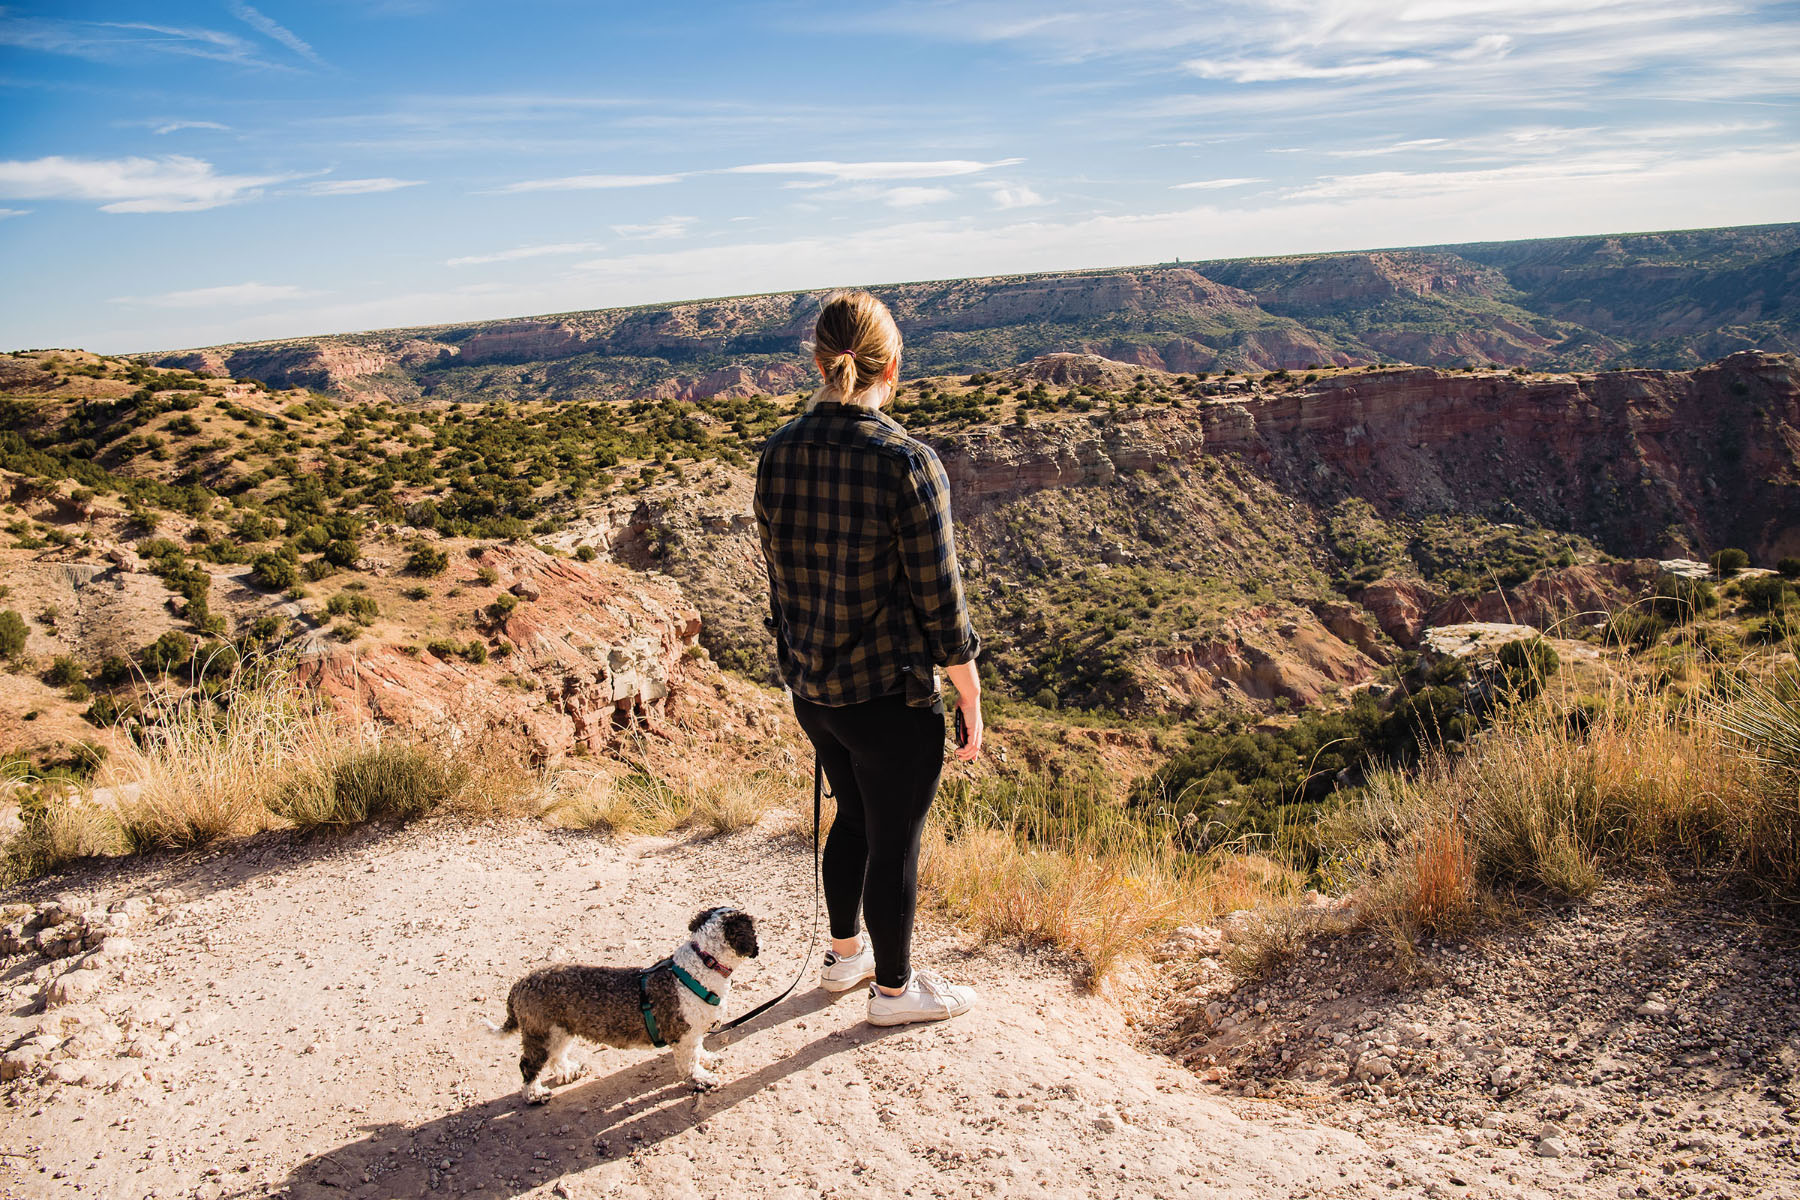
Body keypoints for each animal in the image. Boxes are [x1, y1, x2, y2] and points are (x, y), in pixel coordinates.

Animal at [500, 910, 759, 1101]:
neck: (700, 968)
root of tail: (520, 985)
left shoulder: (695, 1033)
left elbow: (699, 1050)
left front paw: (708, 1059)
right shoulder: (684, 1036)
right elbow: (689, 1062)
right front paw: (701, 1079)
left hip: (560, 1029)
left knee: (556, 1056)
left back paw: (569, 1071)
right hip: (540, 1033)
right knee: (528, 1065)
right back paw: (535, 1094)